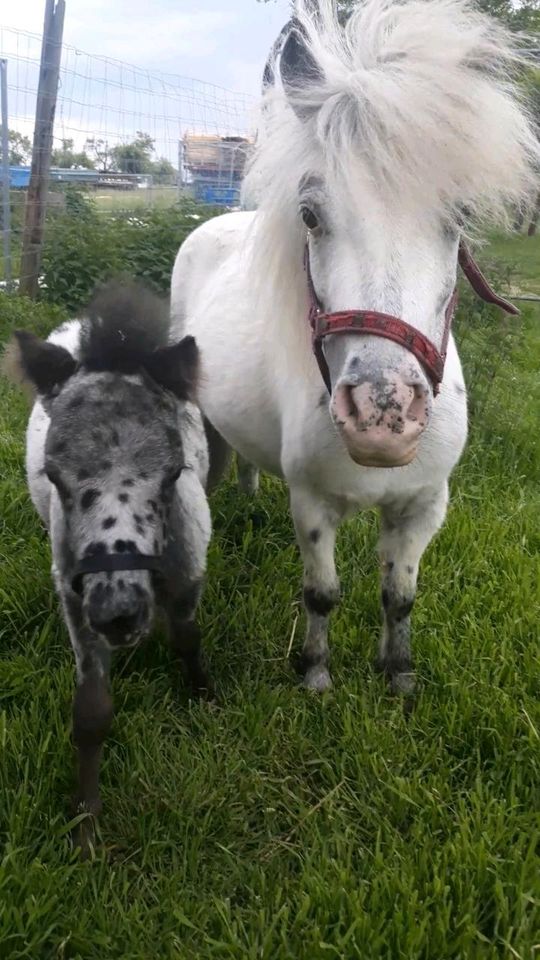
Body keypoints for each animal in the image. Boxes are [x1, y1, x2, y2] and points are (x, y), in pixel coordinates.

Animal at [172, 0, 536, 692]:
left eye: (461, 216)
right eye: (311, 216)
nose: (381, 416)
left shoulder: (424, 507)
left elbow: (400, 597)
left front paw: (399, 678)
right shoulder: (313, 506)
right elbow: (323, 595)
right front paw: (315, 674)